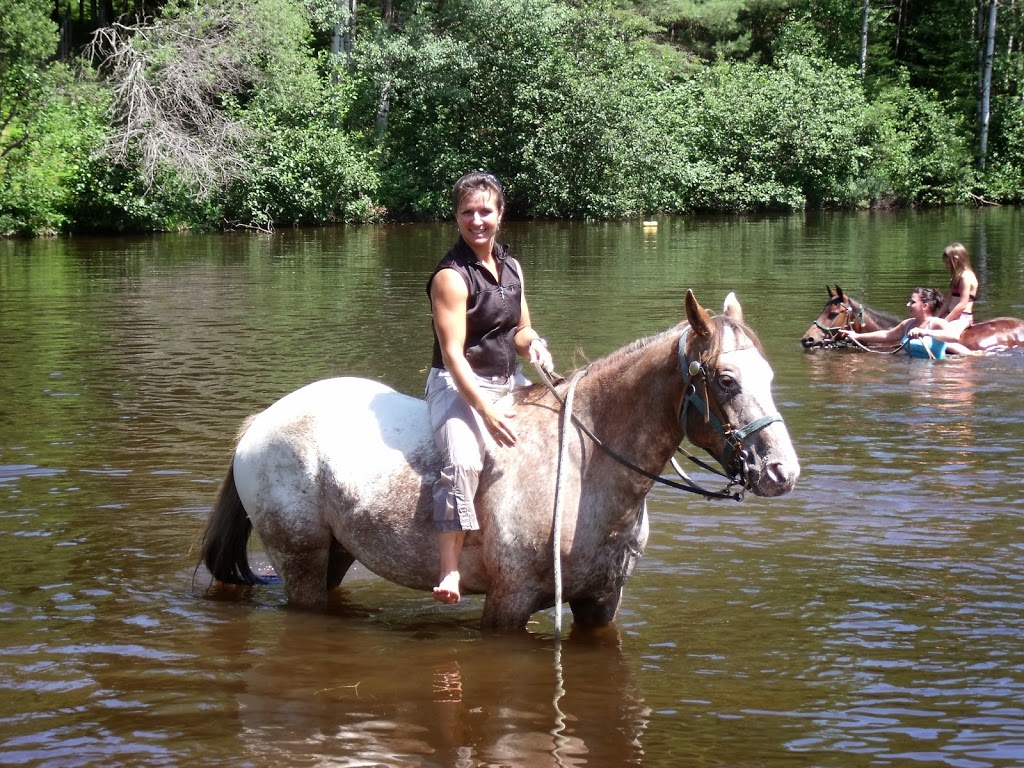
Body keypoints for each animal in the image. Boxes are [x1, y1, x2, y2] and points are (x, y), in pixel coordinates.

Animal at [195, 290, 794, 634]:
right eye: (726, 380)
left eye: (768, 375)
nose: (781, 473)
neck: (585, 471)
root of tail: (261, 424)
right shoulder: (509, 602)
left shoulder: (602, 604)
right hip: (300, 557)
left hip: (337, 555)